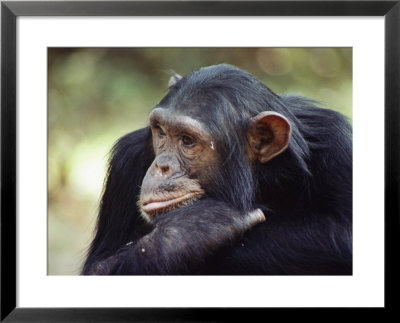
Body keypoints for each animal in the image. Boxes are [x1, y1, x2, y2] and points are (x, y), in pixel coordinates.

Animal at [83, 64, 352, 276]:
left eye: (187, 140)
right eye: (161, 131)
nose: (162, 165)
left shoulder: (338, 144)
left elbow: (343, 233)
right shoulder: (126, 161)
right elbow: (98, 268)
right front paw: (193, 228)